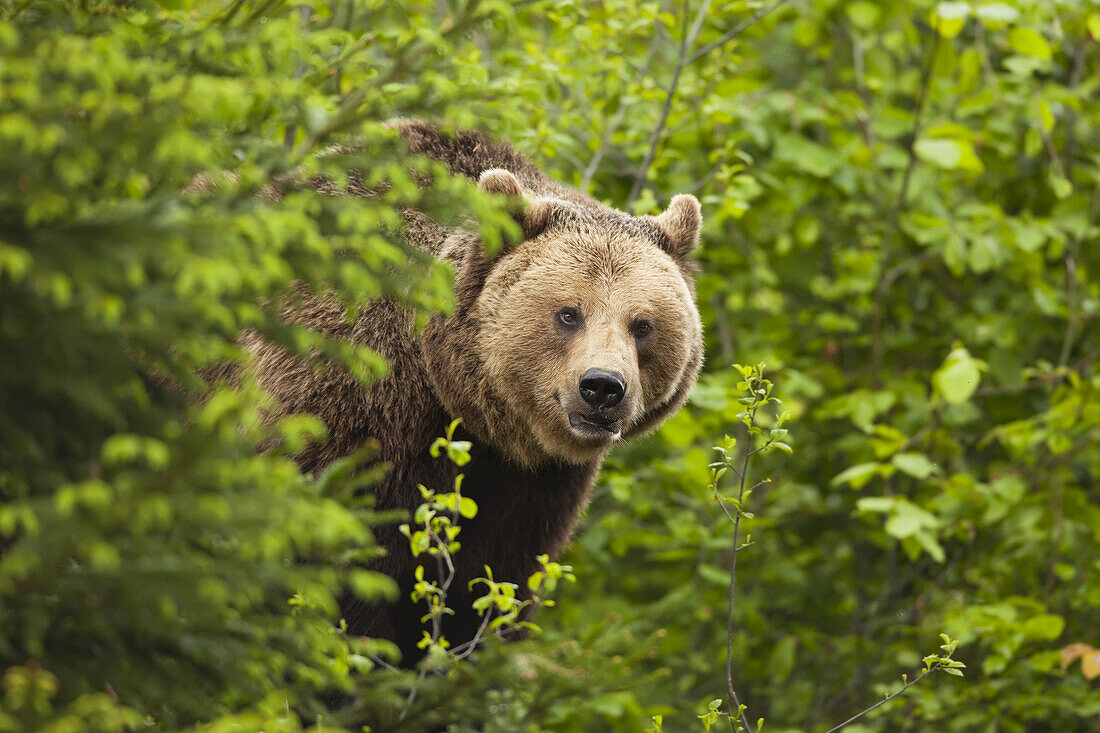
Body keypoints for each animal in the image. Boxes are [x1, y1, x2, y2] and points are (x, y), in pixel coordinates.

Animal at [242, 121, 704, 660]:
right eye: (569, 313)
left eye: (643, 324)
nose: (603, 388)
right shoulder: (346, 403)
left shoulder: (534, 486)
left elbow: (493, 587)